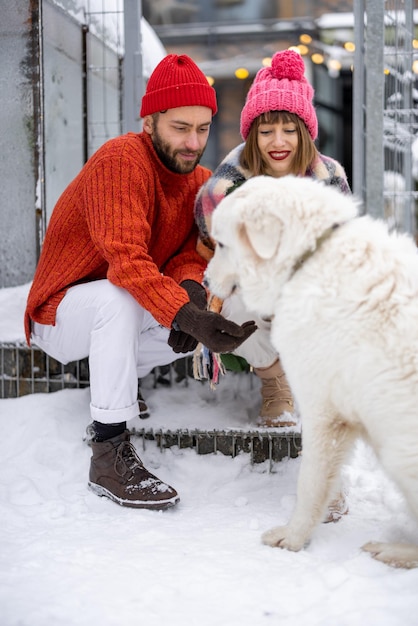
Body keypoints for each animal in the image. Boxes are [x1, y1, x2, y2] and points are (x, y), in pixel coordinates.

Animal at [204, 173, 418, 568]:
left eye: (222, 244)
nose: (207, 283)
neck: (309, 258)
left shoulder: (324, 413)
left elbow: (311, 482)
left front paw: (293, 538)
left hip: (398, 451)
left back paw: (393, 551)